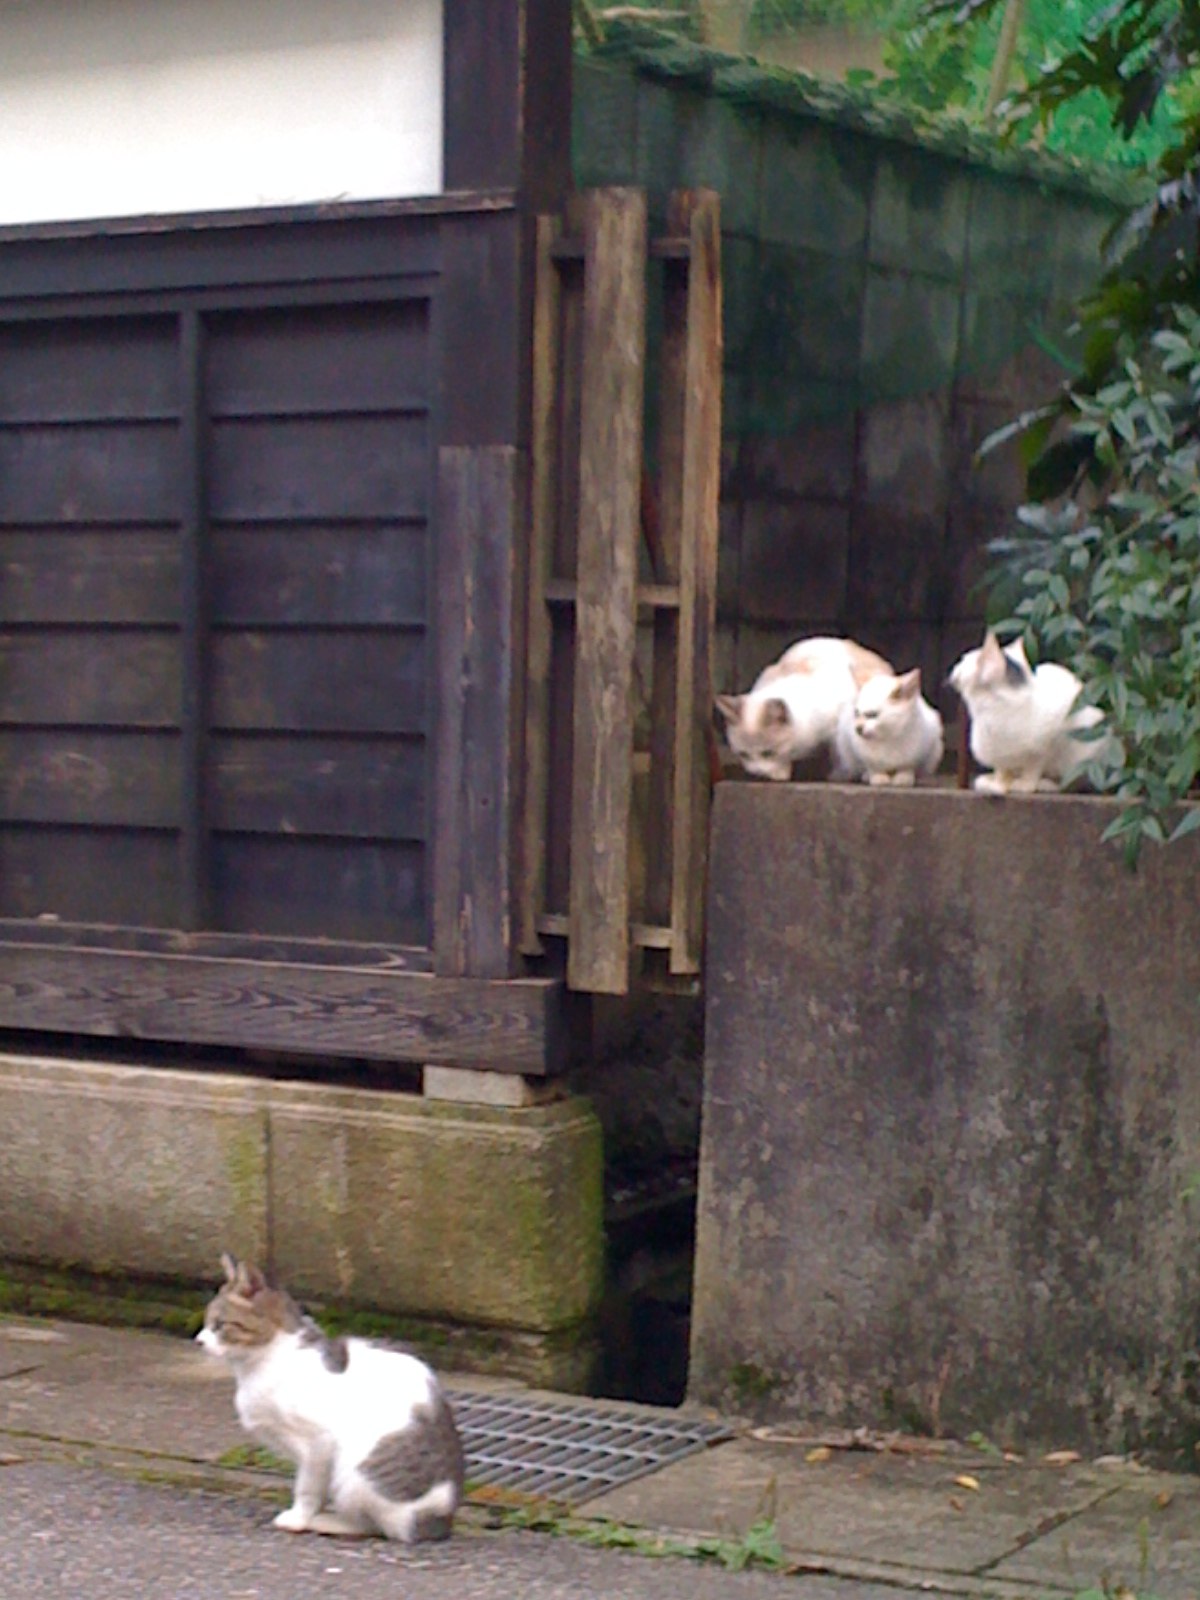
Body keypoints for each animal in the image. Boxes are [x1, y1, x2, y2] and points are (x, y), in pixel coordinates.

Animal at [196, 1253, 464, 1543]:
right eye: (206, 1322)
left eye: (219, 1325)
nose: (198, 1340)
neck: (266, 1360)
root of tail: (440, 1521)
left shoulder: (318, 1443)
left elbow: (307, 1487)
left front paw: (299, 1517)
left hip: (355, 1474)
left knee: (379, 1526)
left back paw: (328, 1522)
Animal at [715, 636, 894, 781]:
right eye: (743, 754)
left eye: (768, 753)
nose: (756, 773)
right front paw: (781, 772)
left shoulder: (836, 730)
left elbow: (838, 754)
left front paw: (839, 774)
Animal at [947, 630, 1114, 795]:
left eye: (963, 660)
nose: (954, 668)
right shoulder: (997, 754)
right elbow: (1002, 769)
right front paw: (998, 784)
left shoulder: (1048, 743)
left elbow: (1034, 766)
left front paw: (1027, 784)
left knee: (1071, 781)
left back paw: (1046, 784)